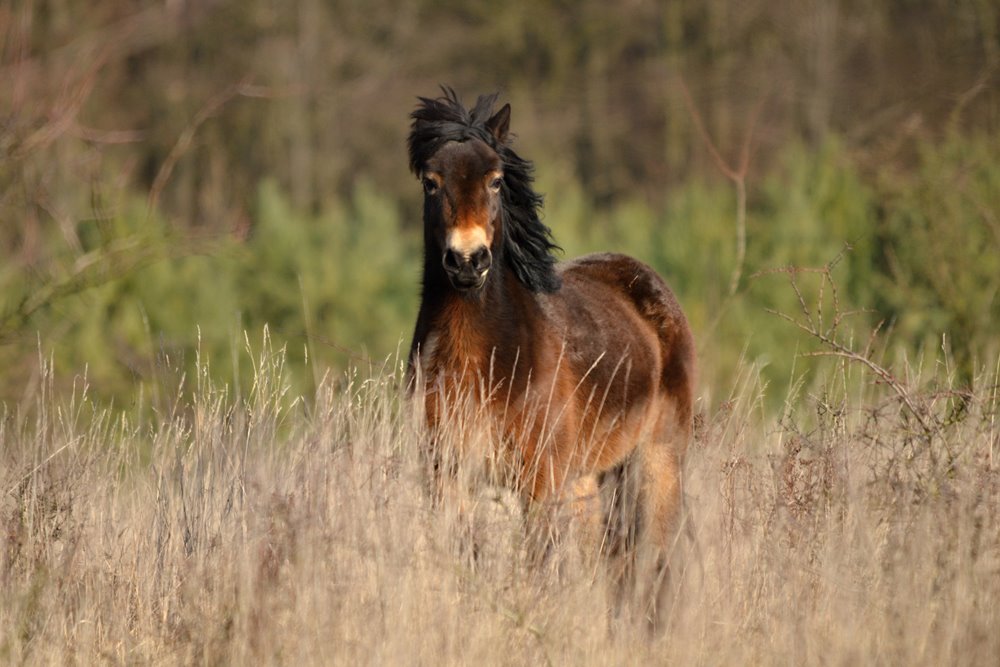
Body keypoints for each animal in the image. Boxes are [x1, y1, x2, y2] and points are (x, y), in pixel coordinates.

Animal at [402, 88, 692, 632]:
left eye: (496, 179)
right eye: (432, 181)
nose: (467, 262)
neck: (483, 361)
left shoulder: (539, 486)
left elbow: (538, 573)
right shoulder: (448, 477)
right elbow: (466, 564)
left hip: (656, 461)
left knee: (656, 562)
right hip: (590, 481)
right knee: (612, 566)